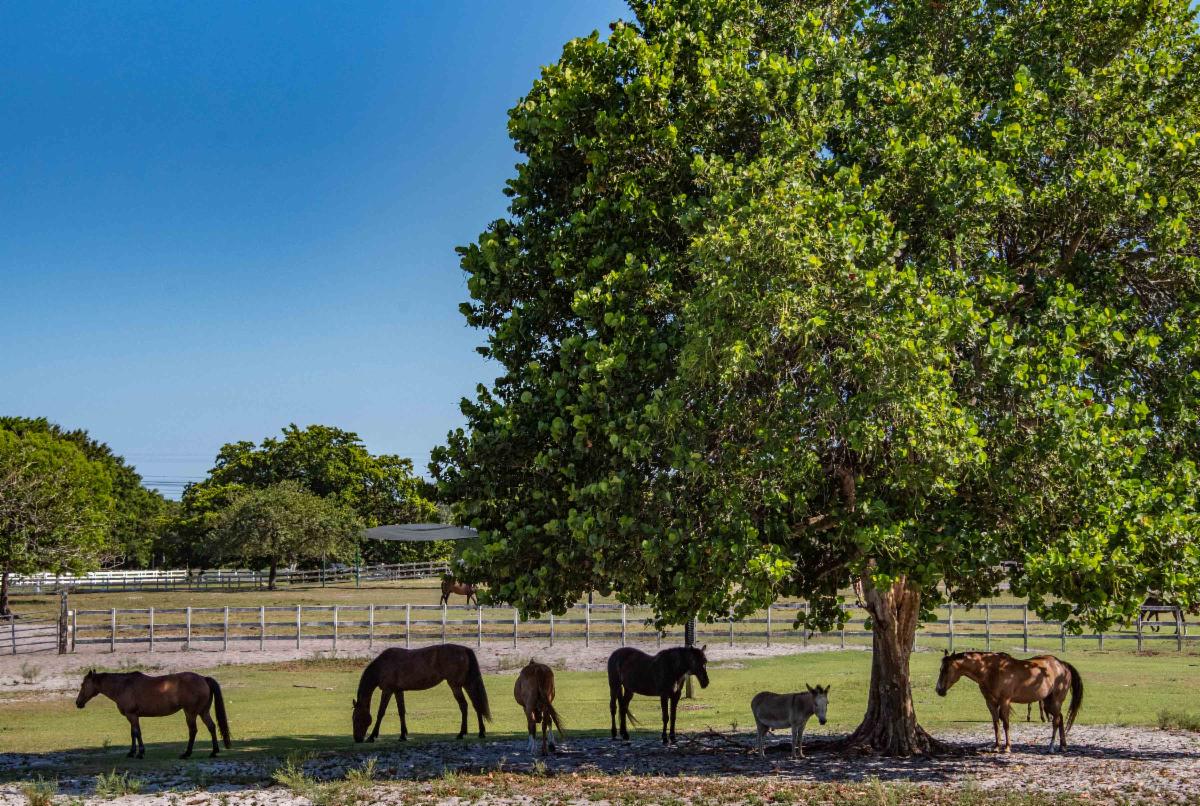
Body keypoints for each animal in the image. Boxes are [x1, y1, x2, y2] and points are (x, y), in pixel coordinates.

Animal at [75, 670, 231, 759]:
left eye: (83, 685)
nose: (78, 703)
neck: (123, 686)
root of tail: (203, 678)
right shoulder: (133, 717)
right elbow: (133, 734)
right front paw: (132, 752)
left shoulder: (132, 715)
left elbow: (137, 733)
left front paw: (140, 753)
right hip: (203, 712)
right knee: (212, 727)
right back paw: (214, 752)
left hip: (190, 712)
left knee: (193, 730)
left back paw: (187, 753)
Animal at [351, 644, 491, 743]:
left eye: (356, 718)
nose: (357, 739)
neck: (382, 665)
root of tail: (464, 650)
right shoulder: (398, 691)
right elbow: (401, 712)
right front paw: (403, 735)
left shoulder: (388, 690)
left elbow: (381, 713)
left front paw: (372, 736)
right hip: (466, 684)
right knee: (475, 704)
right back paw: (480, 732)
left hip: (455, 686)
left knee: (464, 705)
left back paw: (462, 733)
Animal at [936, 651, 1082, 753]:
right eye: (940, 669)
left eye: (946, 669)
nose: (939, 690)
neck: (990, 670)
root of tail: (1062, 665)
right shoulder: (990, 702)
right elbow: (996, 723)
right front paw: (996, 746)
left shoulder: (1005, 701)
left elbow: (1006, 723)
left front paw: (1007, 747)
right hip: (1048, 702)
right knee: (1061, 718)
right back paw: (1063, 746)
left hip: (1055, 701)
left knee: (1056, 721)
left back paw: (1051, 747)